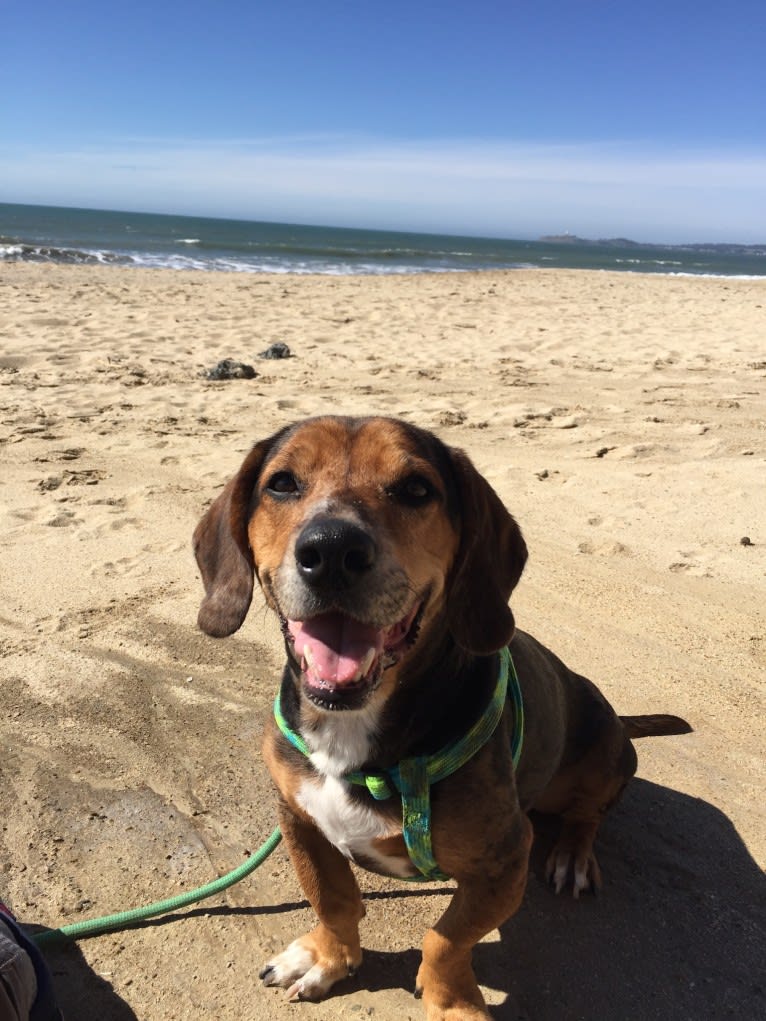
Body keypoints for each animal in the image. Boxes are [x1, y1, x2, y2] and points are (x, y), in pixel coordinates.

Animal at [193, 416, 694, 1021]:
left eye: (416, 489)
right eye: (283, 483)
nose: (332, 550)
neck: (354, 733)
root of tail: (620, 719)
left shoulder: (505, 860)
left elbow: (446, 939)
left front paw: (451, 1001)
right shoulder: (300, 820)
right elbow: (333, 899)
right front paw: (327, 957)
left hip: (603, 754)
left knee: (588, 814)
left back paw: (573, 854)